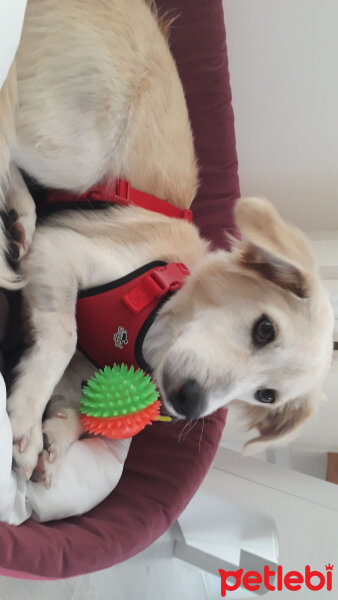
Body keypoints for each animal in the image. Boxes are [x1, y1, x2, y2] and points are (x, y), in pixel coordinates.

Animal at [0, 0, 334, 488]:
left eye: (266, 395)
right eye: (265, 329)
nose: (189, 403)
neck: (154, 325)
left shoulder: (86, 365)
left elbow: (77, 409)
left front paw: (52, 445)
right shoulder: (60, 248)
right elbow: (63, 335)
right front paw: (24, 422)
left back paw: (20, 214)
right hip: (76, 148)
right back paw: (22, 212)